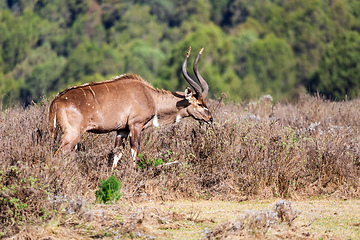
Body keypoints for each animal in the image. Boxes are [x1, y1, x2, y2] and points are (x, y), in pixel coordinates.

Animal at [47, 47, 211, 170]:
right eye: (200, 104)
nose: (210, 118)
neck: (151, 97)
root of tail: (56, 100)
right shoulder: (135, 125)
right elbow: (135, 150)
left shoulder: (122, 130)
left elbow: (117, 153)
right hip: (72, 135)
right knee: (58, 155)